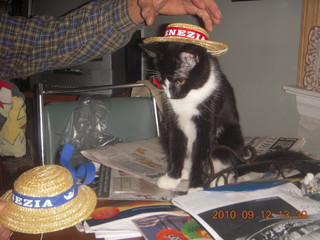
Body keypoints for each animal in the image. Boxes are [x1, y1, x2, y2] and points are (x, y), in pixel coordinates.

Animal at [141, 41, 244, 191]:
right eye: (160, 80)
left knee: (226, 159)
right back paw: (185, 172)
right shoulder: (173, 121)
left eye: (180, 81)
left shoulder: (209, 117)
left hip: (232, 136)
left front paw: (196, 187)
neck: (190, 96)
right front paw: (172, 178)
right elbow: (176, 147)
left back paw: (218, 179)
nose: (170, 96)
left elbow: (202, 153)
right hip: (164, 131)